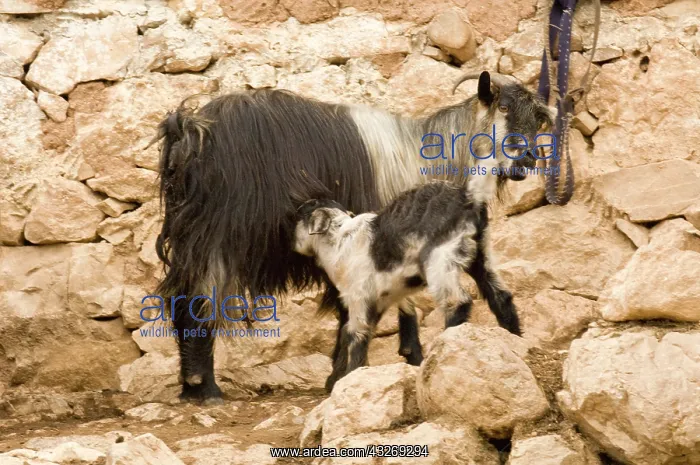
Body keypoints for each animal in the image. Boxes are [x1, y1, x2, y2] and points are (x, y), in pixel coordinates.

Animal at [293, 181, 520, 389]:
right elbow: (381, 324)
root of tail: (469, 197)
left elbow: (355, 334)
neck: (341, 241)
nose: (294, 245)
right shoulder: (384, 297)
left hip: (440, 259)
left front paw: (349, 376)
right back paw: (515, 339)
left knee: (457, 301)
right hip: (481, 255)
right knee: (500, 296)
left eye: (300, 215)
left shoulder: (359, 296)